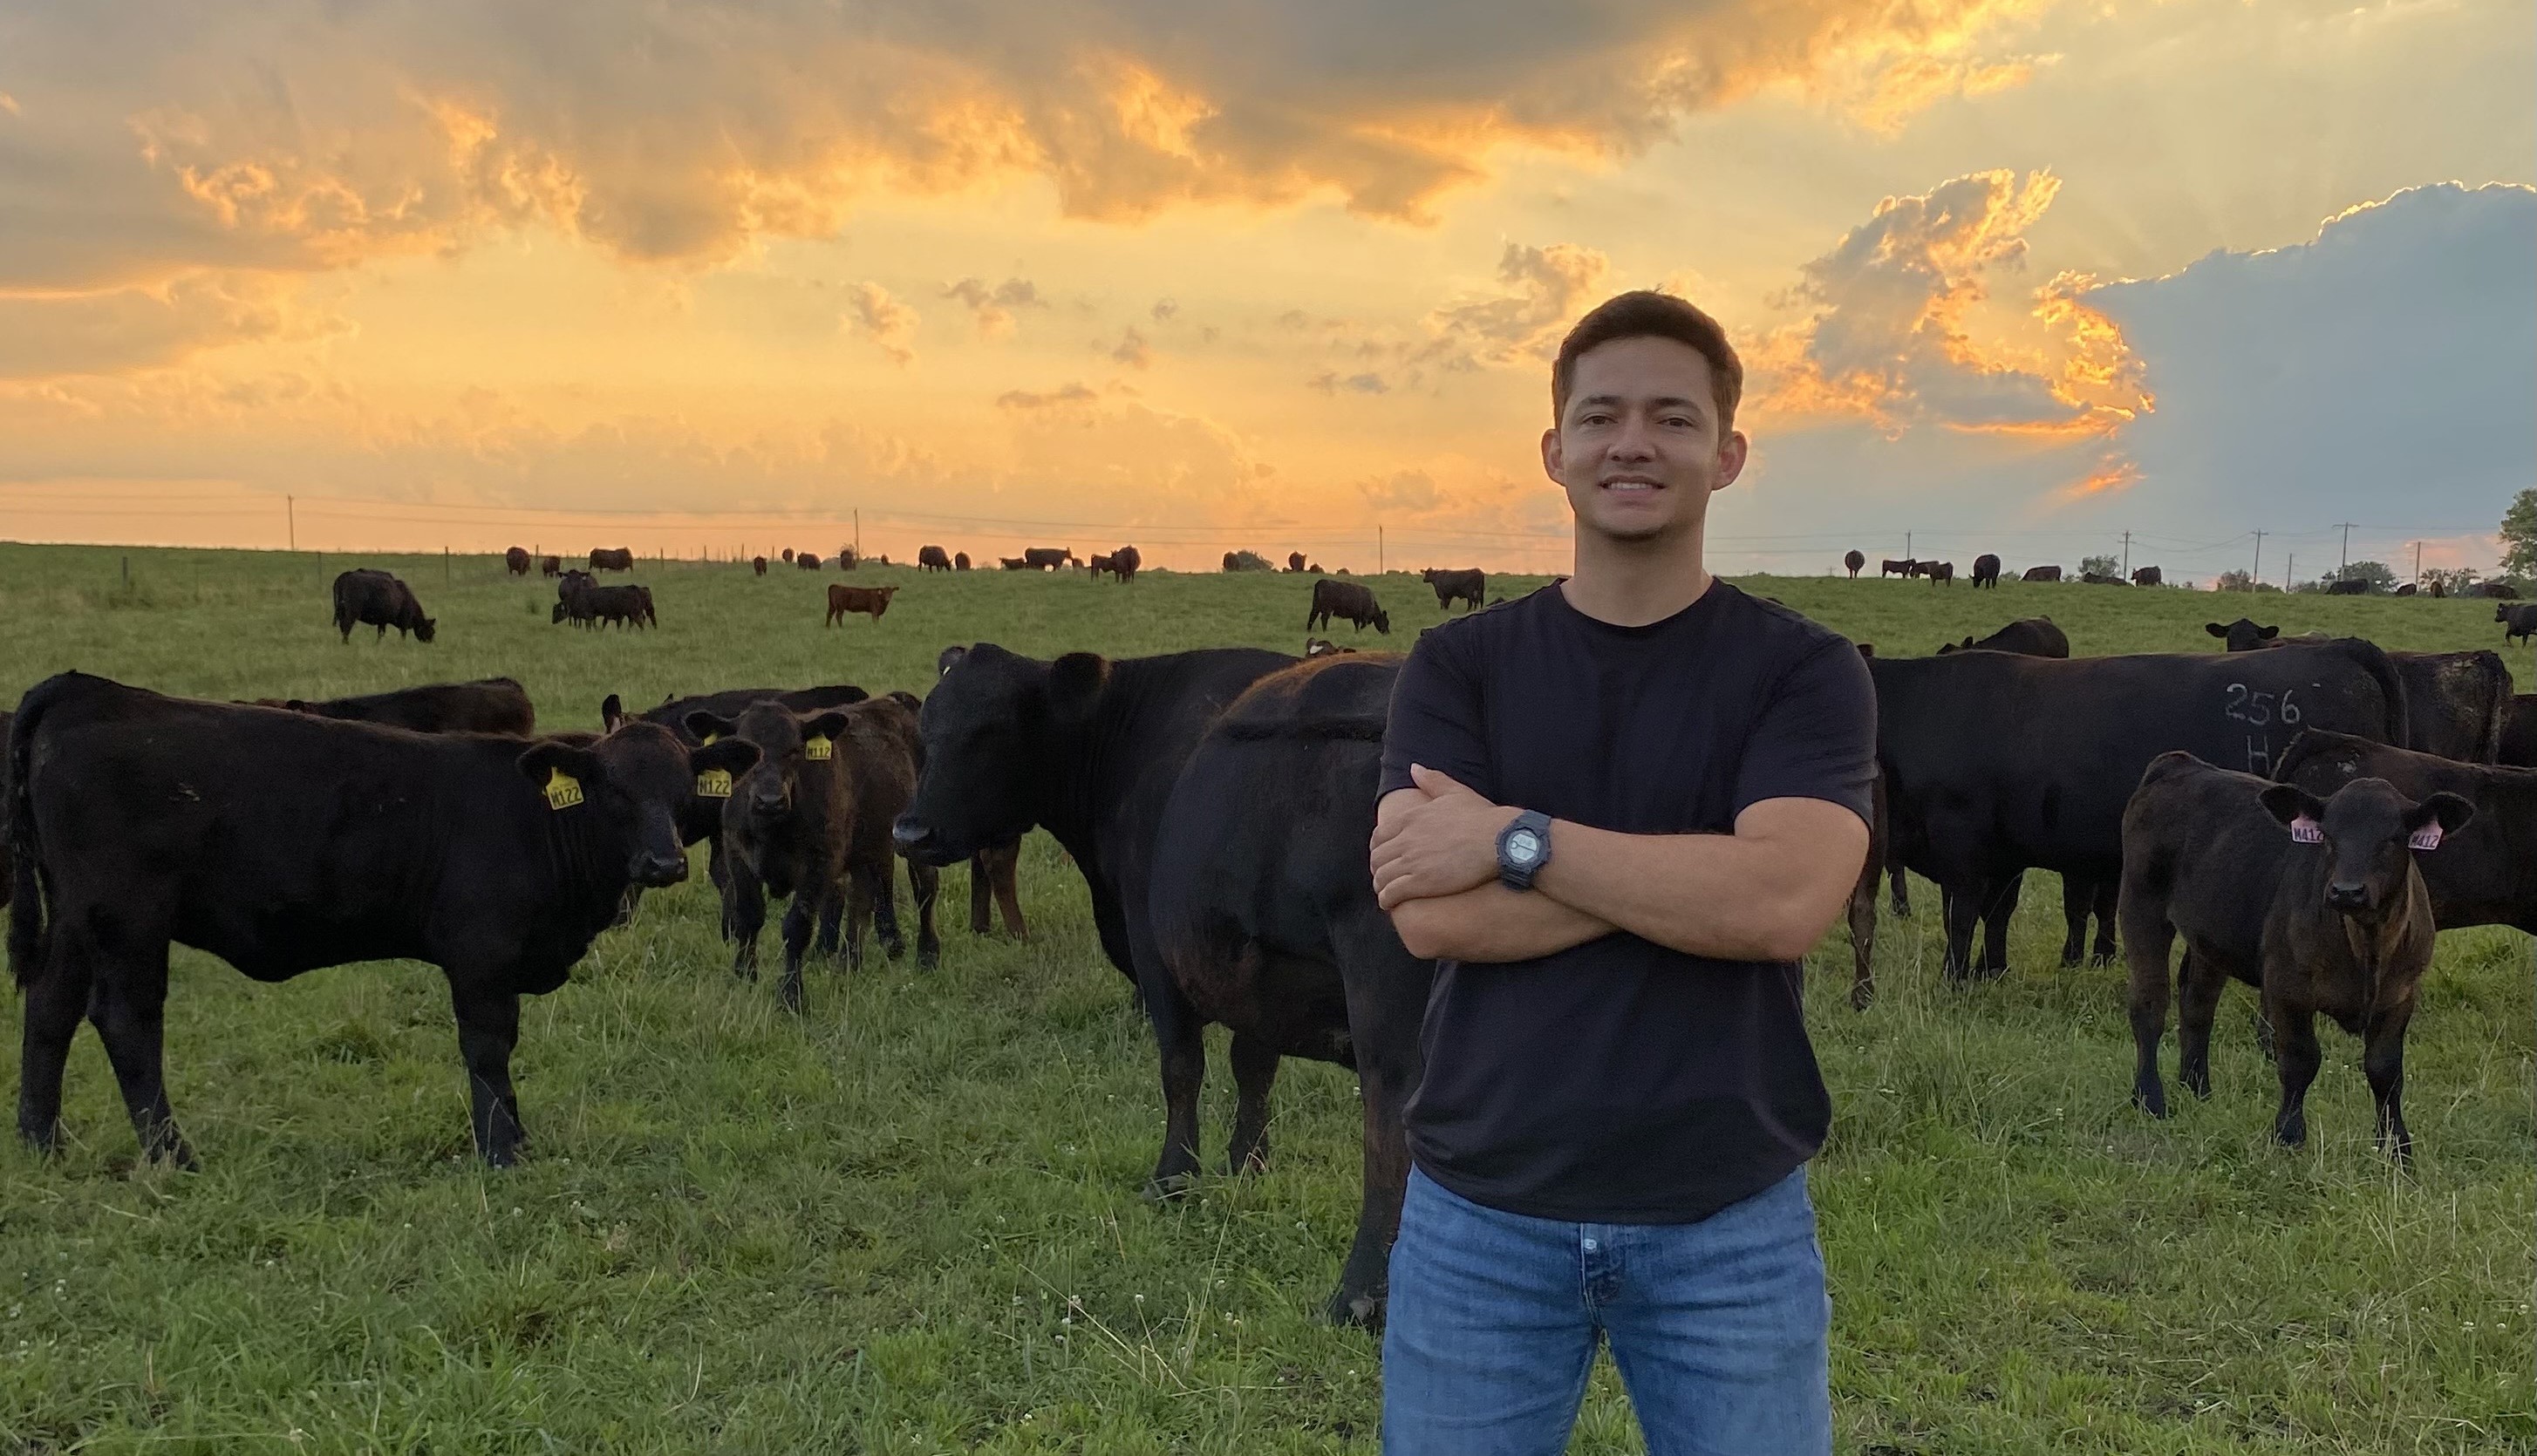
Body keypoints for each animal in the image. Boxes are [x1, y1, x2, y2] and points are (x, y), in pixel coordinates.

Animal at [10, 674, 760, 1176]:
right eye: (612, 789)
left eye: (682, 787)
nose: (662, 862)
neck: (537, 819)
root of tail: (88, 690)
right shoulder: (481, 957)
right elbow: (488, 1048)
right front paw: (502, 1151)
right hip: (128, 919)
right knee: (127, 1022)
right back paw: (174, 1156)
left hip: (78, 918)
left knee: (50, 1010)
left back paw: (42, 1144)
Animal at [888, 643, 1430, 1329]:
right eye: (925, 730)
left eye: (991, 730)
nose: (910, 833)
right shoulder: (1253, 966)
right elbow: (1252, 1064)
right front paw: (1245, 1163)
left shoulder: (1154, 951)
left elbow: (1181, 1068)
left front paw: (1172, 1178)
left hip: (1387, 1011)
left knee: (1387, 1135)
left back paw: (1355, 1296)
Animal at [1877, 646, 2404, 983]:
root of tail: (2339, 647)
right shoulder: (2004, 851)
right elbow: (1997, 913)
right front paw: (1992, 972)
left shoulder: (1961, 840)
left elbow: (1962, 913)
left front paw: (1954, 978)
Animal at [2120, 760, 2476, 1172]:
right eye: (2327, 838)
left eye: (2393, 838)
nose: (2347, 891)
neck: (2366, 945)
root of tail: (2181, 763)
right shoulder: (2286, 990)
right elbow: (2299, 1061)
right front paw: (2289, 1136)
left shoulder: (2401, 996)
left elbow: (2385, 1071)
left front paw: (2397, 1149)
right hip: (2141, 906)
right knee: (2149, 1006)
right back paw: (2150, 1098)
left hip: (2209, 938)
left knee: (2197, 1007)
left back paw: (2197, 1089)